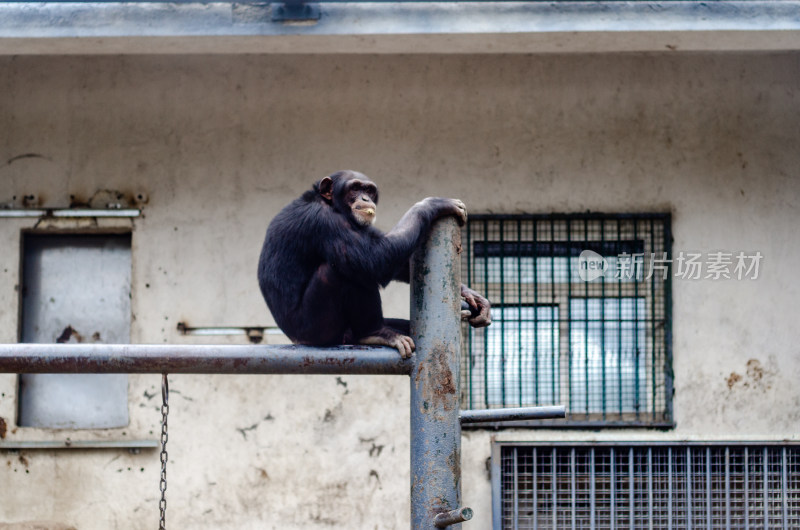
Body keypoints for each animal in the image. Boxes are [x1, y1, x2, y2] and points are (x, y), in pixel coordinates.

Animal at [260, 169, 490, 358]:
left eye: (369, 190)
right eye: (355, 188)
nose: (365, 198)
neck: (329, 203)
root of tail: (295, 340)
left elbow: (387, 253)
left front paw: (470, 293)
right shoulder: (323, 221)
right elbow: (374, 259)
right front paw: (432, 203)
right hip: (316, 330)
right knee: (343, 273)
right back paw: (376, 333)